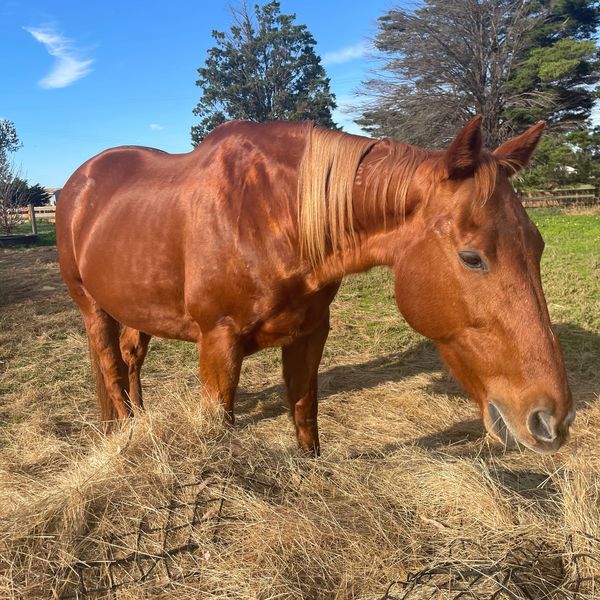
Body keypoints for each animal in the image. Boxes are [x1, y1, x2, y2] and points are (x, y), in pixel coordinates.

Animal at [57, 116, 576, 454]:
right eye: (472, 258)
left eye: (538, 247)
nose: (553, 419)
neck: (268, 214)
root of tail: (78, 181)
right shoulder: (217, 345)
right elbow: (220, 433)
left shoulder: (309, 335)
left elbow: (305, 418)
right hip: (92, 306)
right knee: (111, 367)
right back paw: (125, 432)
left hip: (135, 307)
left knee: (130, 359)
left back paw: (139, 421)